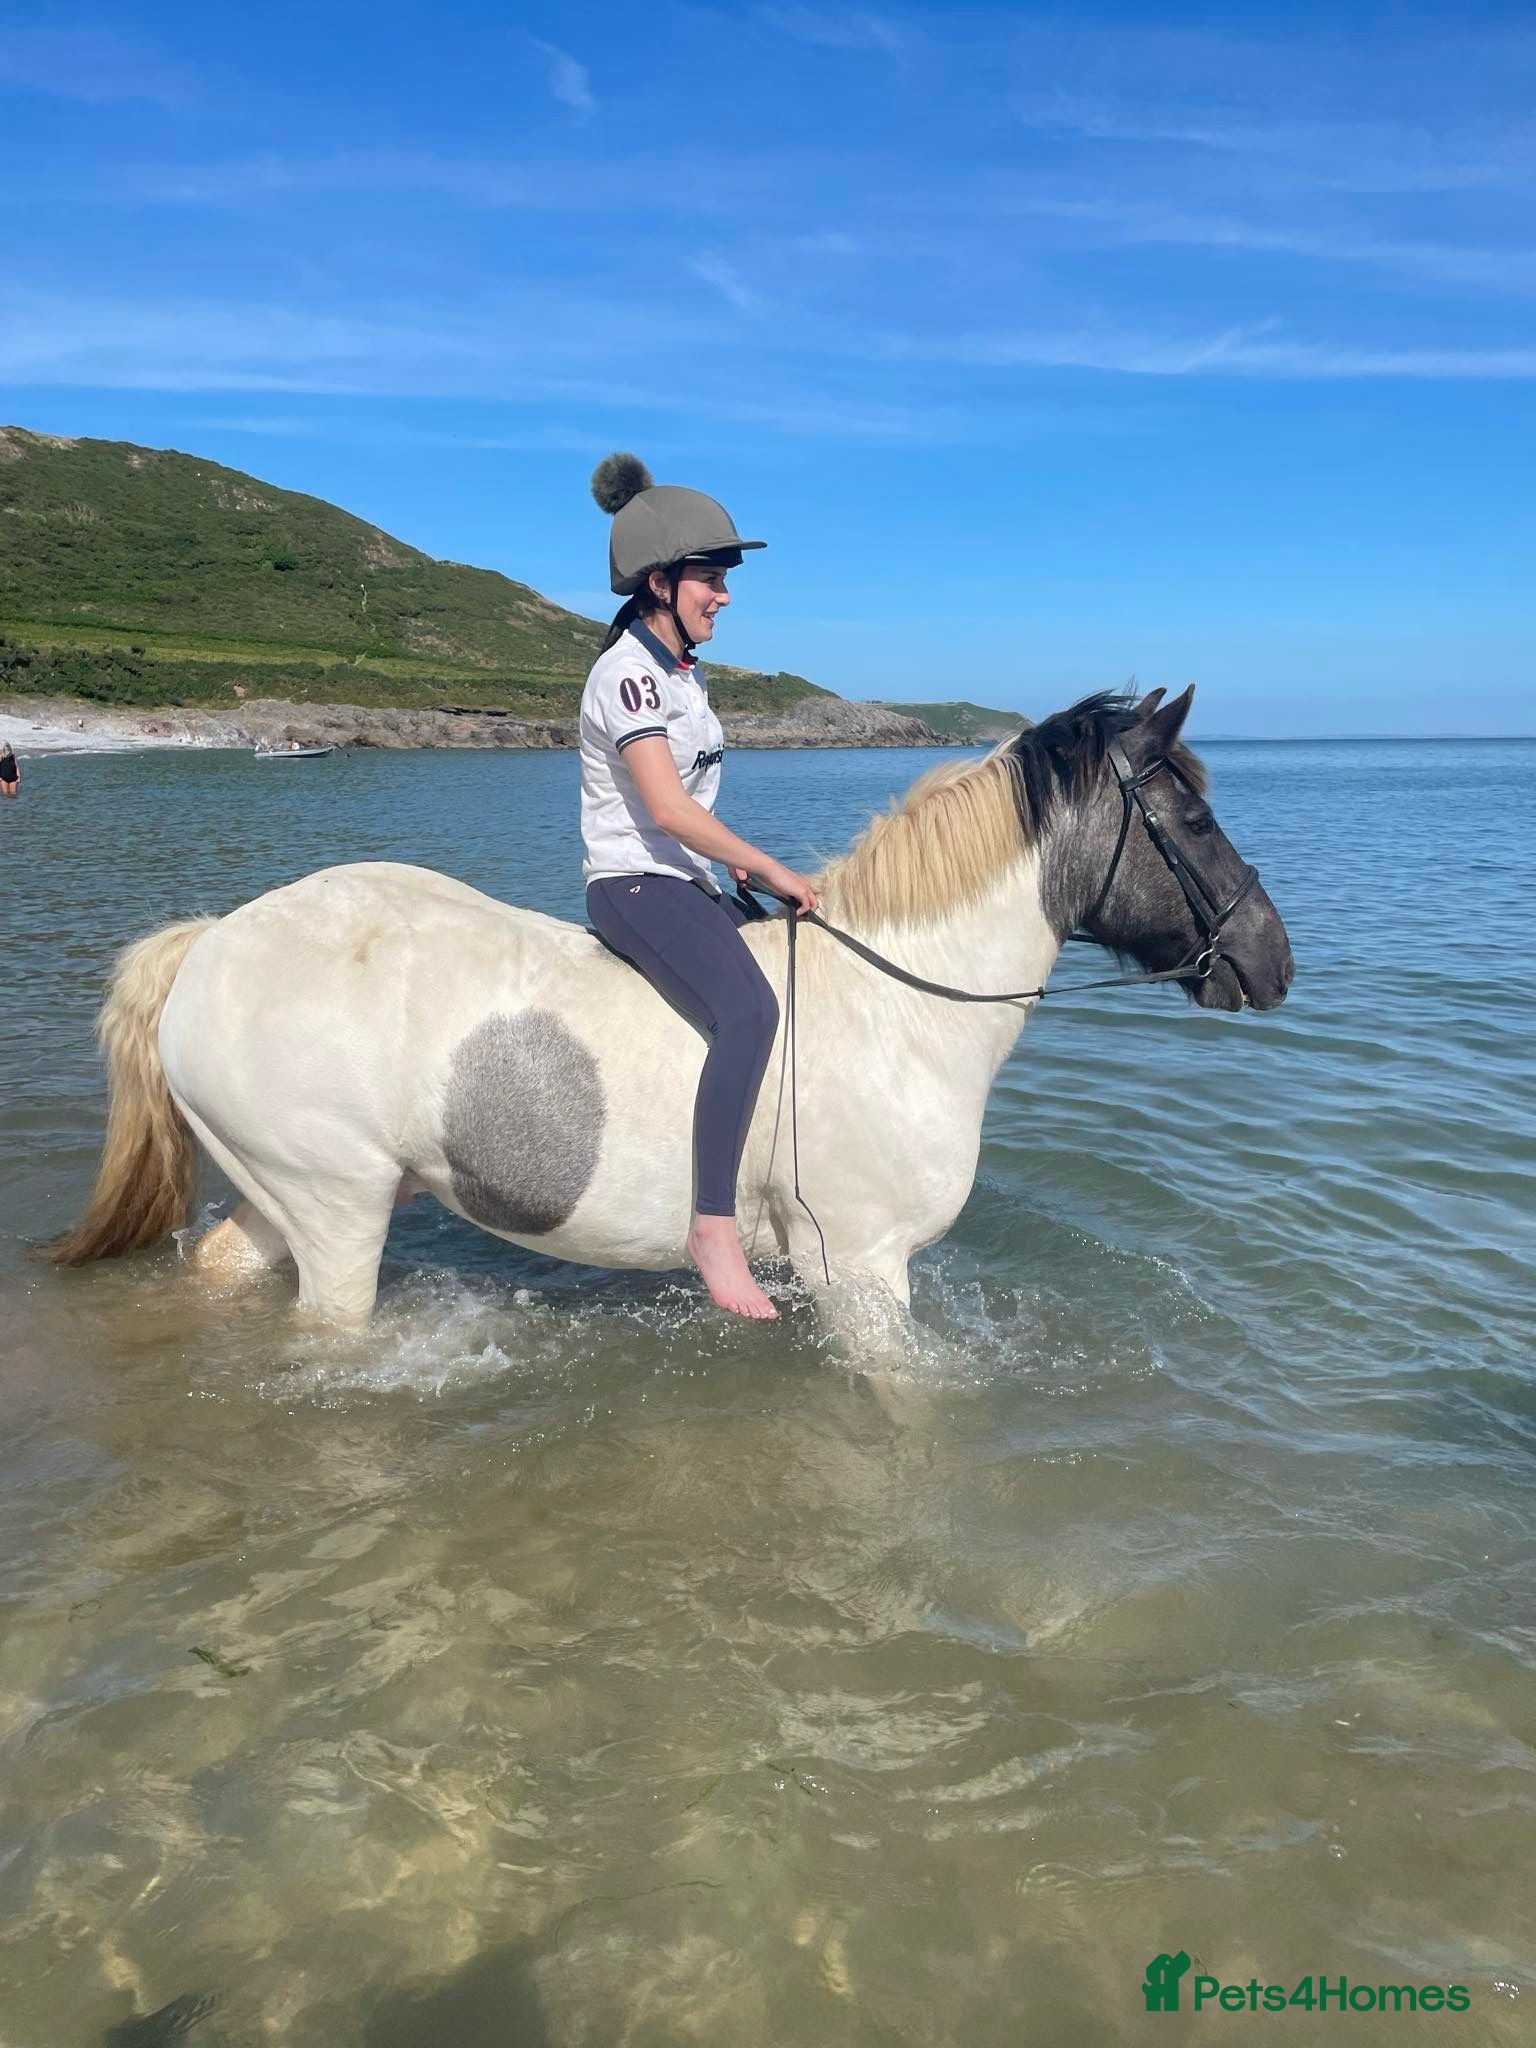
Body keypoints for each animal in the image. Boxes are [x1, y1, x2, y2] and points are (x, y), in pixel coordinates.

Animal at [45, 686, 1292, 1323]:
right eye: (1189, 817)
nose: (1274, 961)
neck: (899, 1006)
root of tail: (210, 944)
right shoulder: (864, 1270)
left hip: (286, 1194)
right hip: (333, 1204)